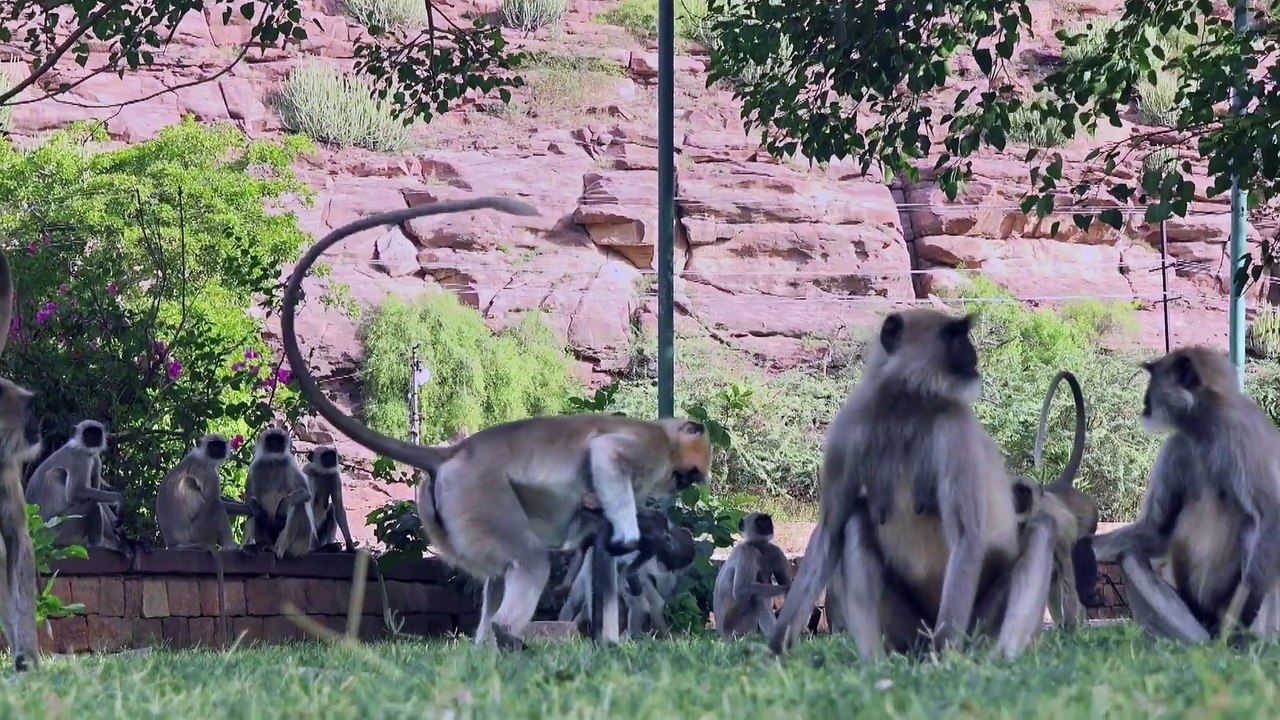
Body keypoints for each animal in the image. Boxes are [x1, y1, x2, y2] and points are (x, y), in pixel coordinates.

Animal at [24, 419, 125, 552]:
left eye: (96, 432)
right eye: (87, 433)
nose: (93, 438)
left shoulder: (96, 459)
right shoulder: (80, 458)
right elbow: (76, 493)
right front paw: (119, 499)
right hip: (57, 531)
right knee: (91, 503)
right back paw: (98, 544)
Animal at [242, 427, 316, 560]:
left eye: (279, 440)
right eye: (271, 440)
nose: (276, 444)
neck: (273, 462)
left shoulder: (290, 463)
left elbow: (305, 493)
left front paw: (282, 507)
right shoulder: (255, 466)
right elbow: (249, 498)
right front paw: (261, 514)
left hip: (301, 545)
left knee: (298, 505)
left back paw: (276, 550)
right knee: (252, 512)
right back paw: (257, 546)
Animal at [768, 309, 1059, 661]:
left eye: (961, 333)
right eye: (953, 335)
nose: (971, 353)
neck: (906, 405)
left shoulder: (955, 427)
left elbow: (967, 535)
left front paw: (944, 657)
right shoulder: (846, 428)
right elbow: (830, 531)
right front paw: (775, 648)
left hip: (978, 627)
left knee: (1042, 528)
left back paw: (1001, 657)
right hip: (907, 630)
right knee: (855, 521)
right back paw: (874, 661)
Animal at [1093, 346, 1280, 644]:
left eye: (1153, 378)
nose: (1145, 400)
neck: (1206, 430)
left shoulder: (1243, 435)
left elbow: (1271, 516)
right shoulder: (1177, 446)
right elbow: (1156, 531)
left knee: (1254, 525)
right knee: (1130, 554)